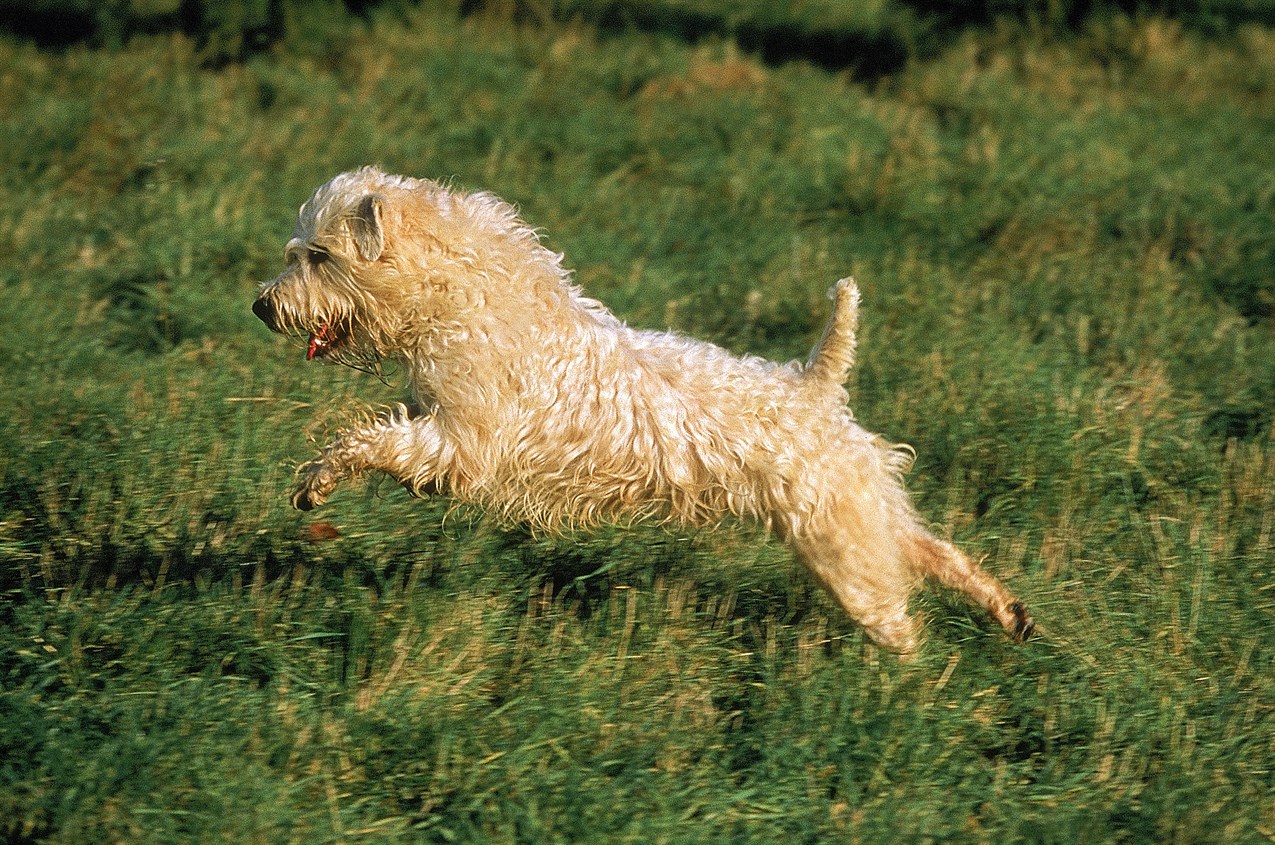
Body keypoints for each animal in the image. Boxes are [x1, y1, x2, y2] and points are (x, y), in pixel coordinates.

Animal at [251, 166, 1035, 652]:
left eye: (319, 255)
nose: (262, 306)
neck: (465, 299)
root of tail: (816, 384)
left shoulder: (463, 446)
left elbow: (374, 443)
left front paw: (317, 478)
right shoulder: (437, 415)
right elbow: (382, 427)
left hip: (843, 549)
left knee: (895, 606)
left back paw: (910, 669)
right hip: (861, 518)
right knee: (935, 552)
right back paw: (1010, 613)